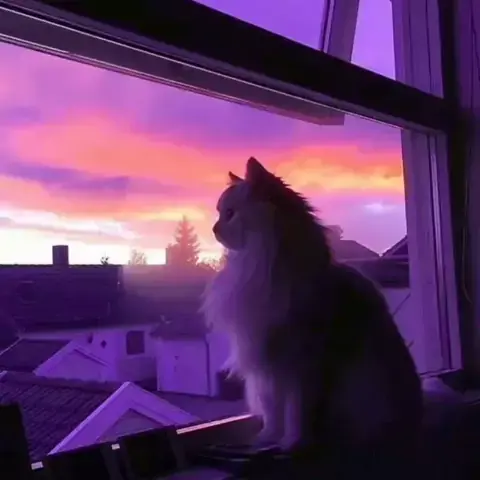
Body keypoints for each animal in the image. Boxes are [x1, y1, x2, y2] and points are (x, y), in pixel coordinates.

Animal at [201, 157, 423, 469]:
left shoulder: (300, 364)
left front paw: (292, 444)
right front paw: (267, 440)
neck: (263, 267)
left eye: (230, 214)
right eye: (220, 213)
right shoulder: (266, 366)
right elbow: (273, 412)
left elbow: (295, 412)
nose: (214, 229)